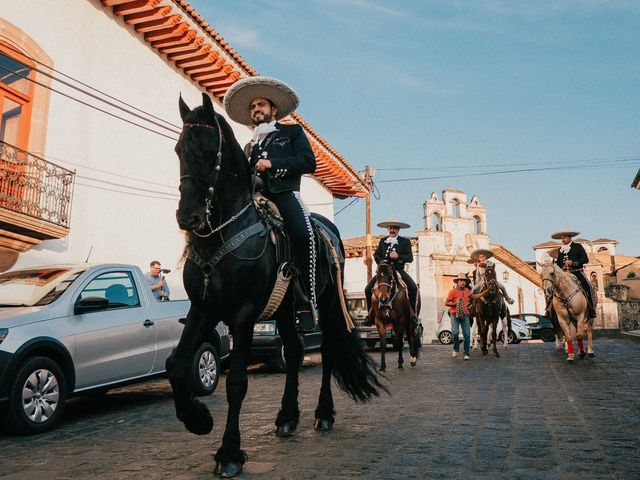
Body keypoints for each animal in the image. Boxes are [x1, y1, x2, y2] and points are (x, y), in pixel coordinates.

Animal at [166, 93, 384, 476]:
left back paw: (323, 414)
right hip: (284, 308)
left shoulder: (242, 314)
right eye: (179, 149)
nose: (187, 217)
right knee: (295, 350)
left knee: (328, 352)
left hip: (327, 303)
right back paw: (287, 417)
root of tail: (330, 231)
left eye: (208, 150)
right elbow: (176, 363)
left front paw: (229, 453)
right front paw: (198, 418)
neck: (223, 231)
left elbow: (236, 382)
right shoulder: (204, 309)